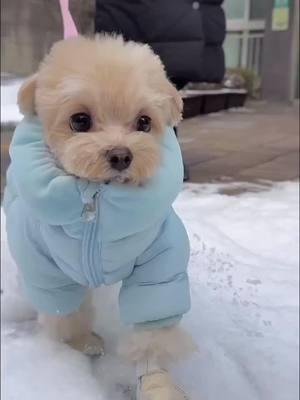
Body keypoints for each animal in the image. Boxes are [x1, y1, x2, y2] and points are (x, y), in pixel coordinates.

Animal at [7, 36, 195, 398]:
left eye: (144, 122)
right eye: (79, 120)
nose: (121, 155)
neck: (97, 206)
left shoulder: (157, 261)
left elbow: (152, 327)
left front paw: (156, 381)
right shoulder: (47, 266)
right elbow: (67, 311)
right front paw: (81, 341)